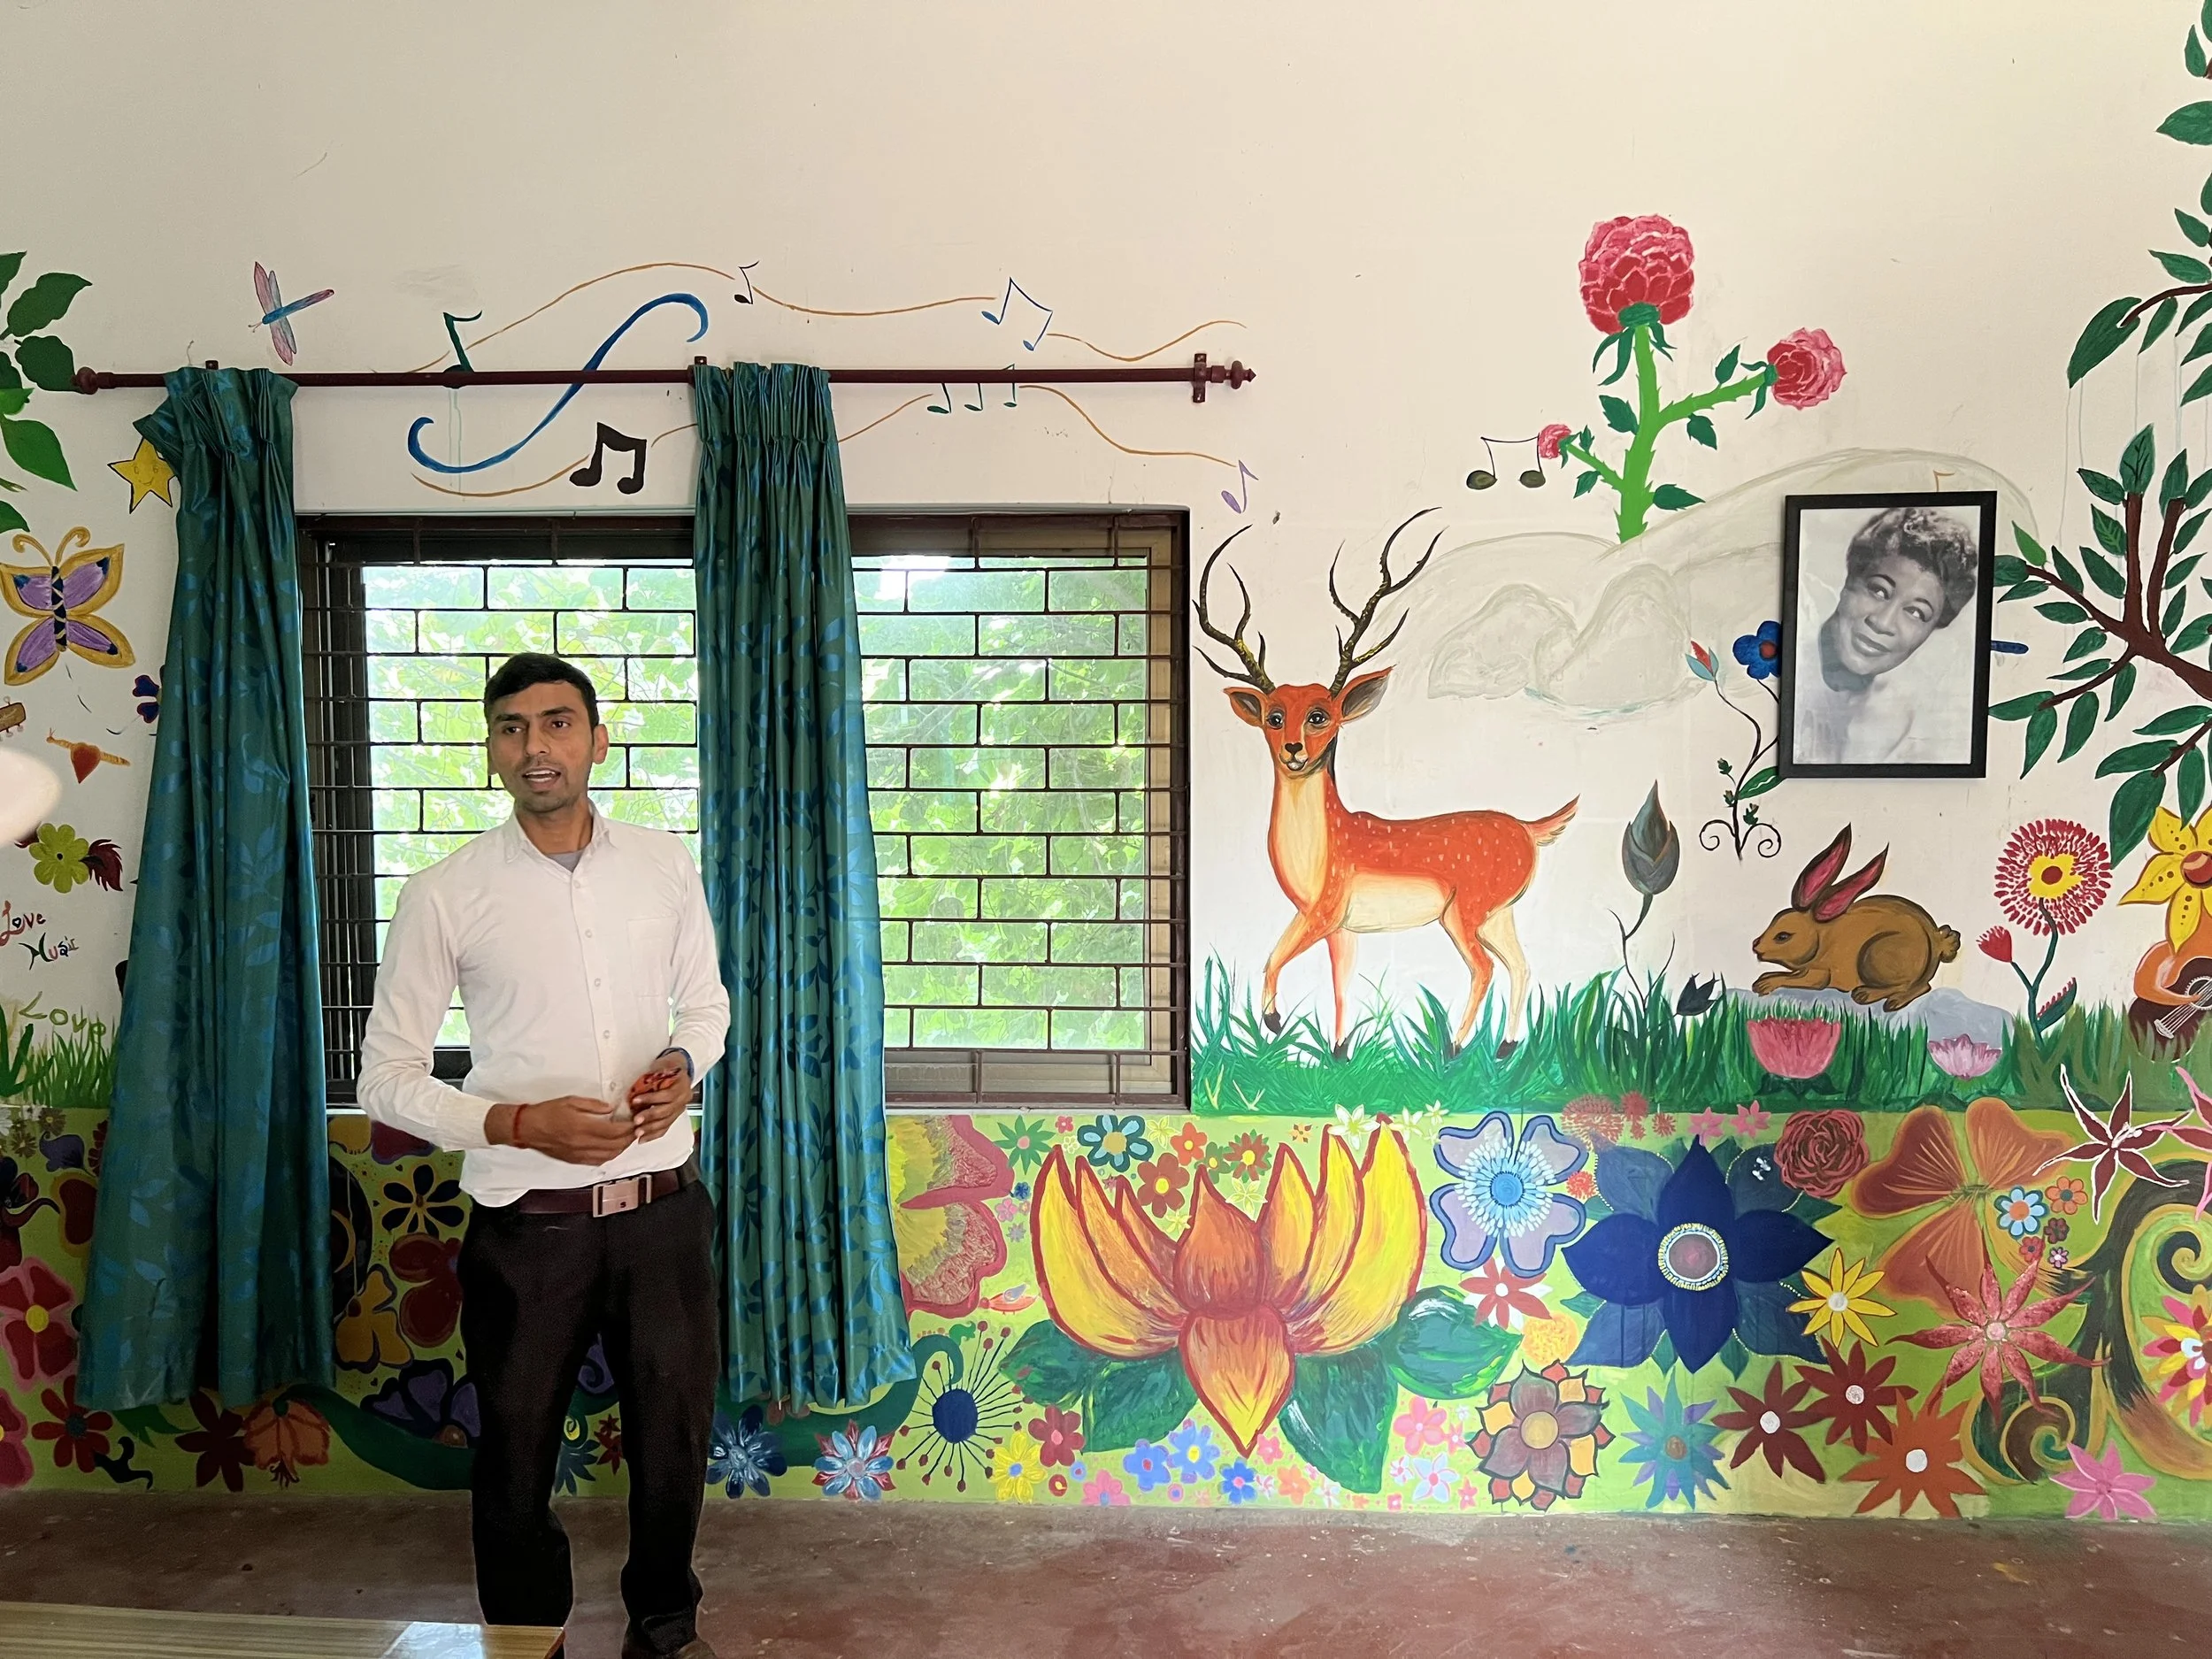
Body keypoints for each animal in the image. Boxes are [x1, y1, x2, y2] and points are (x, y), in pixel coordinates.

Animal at [1196, 507, 1578, 1058]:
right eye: (1273, 716)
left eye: (1320, 715)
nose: (1294, 750)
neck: (1324, 849)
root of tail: (1529, 829)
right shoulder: (1341, 928)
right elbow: (1339, 983)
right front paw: (1338, 1053)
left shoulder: (1323, 912)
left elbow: (1272, 957)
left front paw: (1272, 1021)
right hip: (1498, 914)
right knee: (1522, 965)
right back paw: (1504, 1049)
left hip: (1465, 915)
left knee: (1485, 968)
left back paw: (1454, 1047)